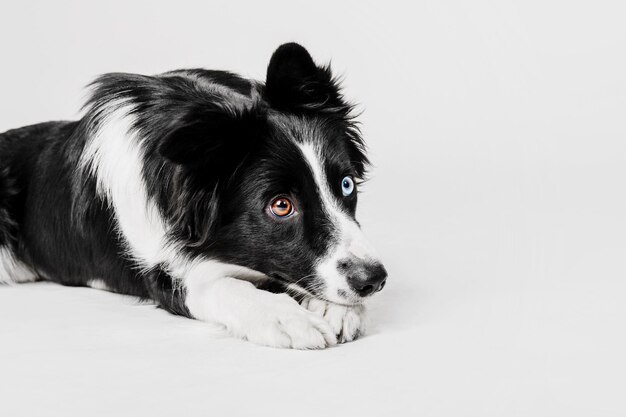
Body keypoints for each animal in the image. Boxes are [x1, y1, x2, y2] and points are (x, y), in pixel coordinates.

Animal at [0, 43, 386, 348]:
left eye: (347, 185)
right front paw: (284, 317)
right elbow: (218, 286)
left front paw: (333, 308)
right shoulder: (162, 271)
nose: (374, 280)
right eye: (281, 206)